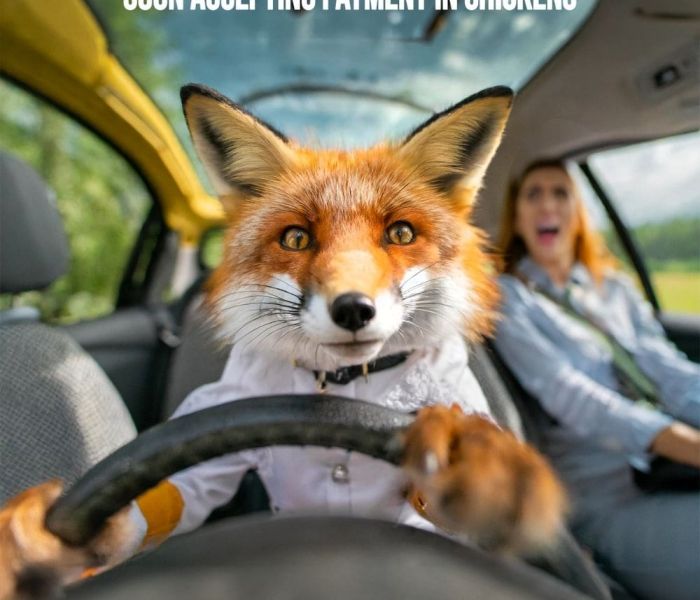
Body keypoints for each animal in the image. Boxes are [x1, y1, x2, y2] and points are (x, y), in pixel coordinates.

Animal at [0, 84, 567, 599]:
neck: (345, 389)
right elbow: (178, 489)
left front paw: (490, 469)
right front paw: (46, 541)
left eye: (401, 234)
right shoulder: (226, 405)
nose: (354, 309)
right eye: (296, 238)